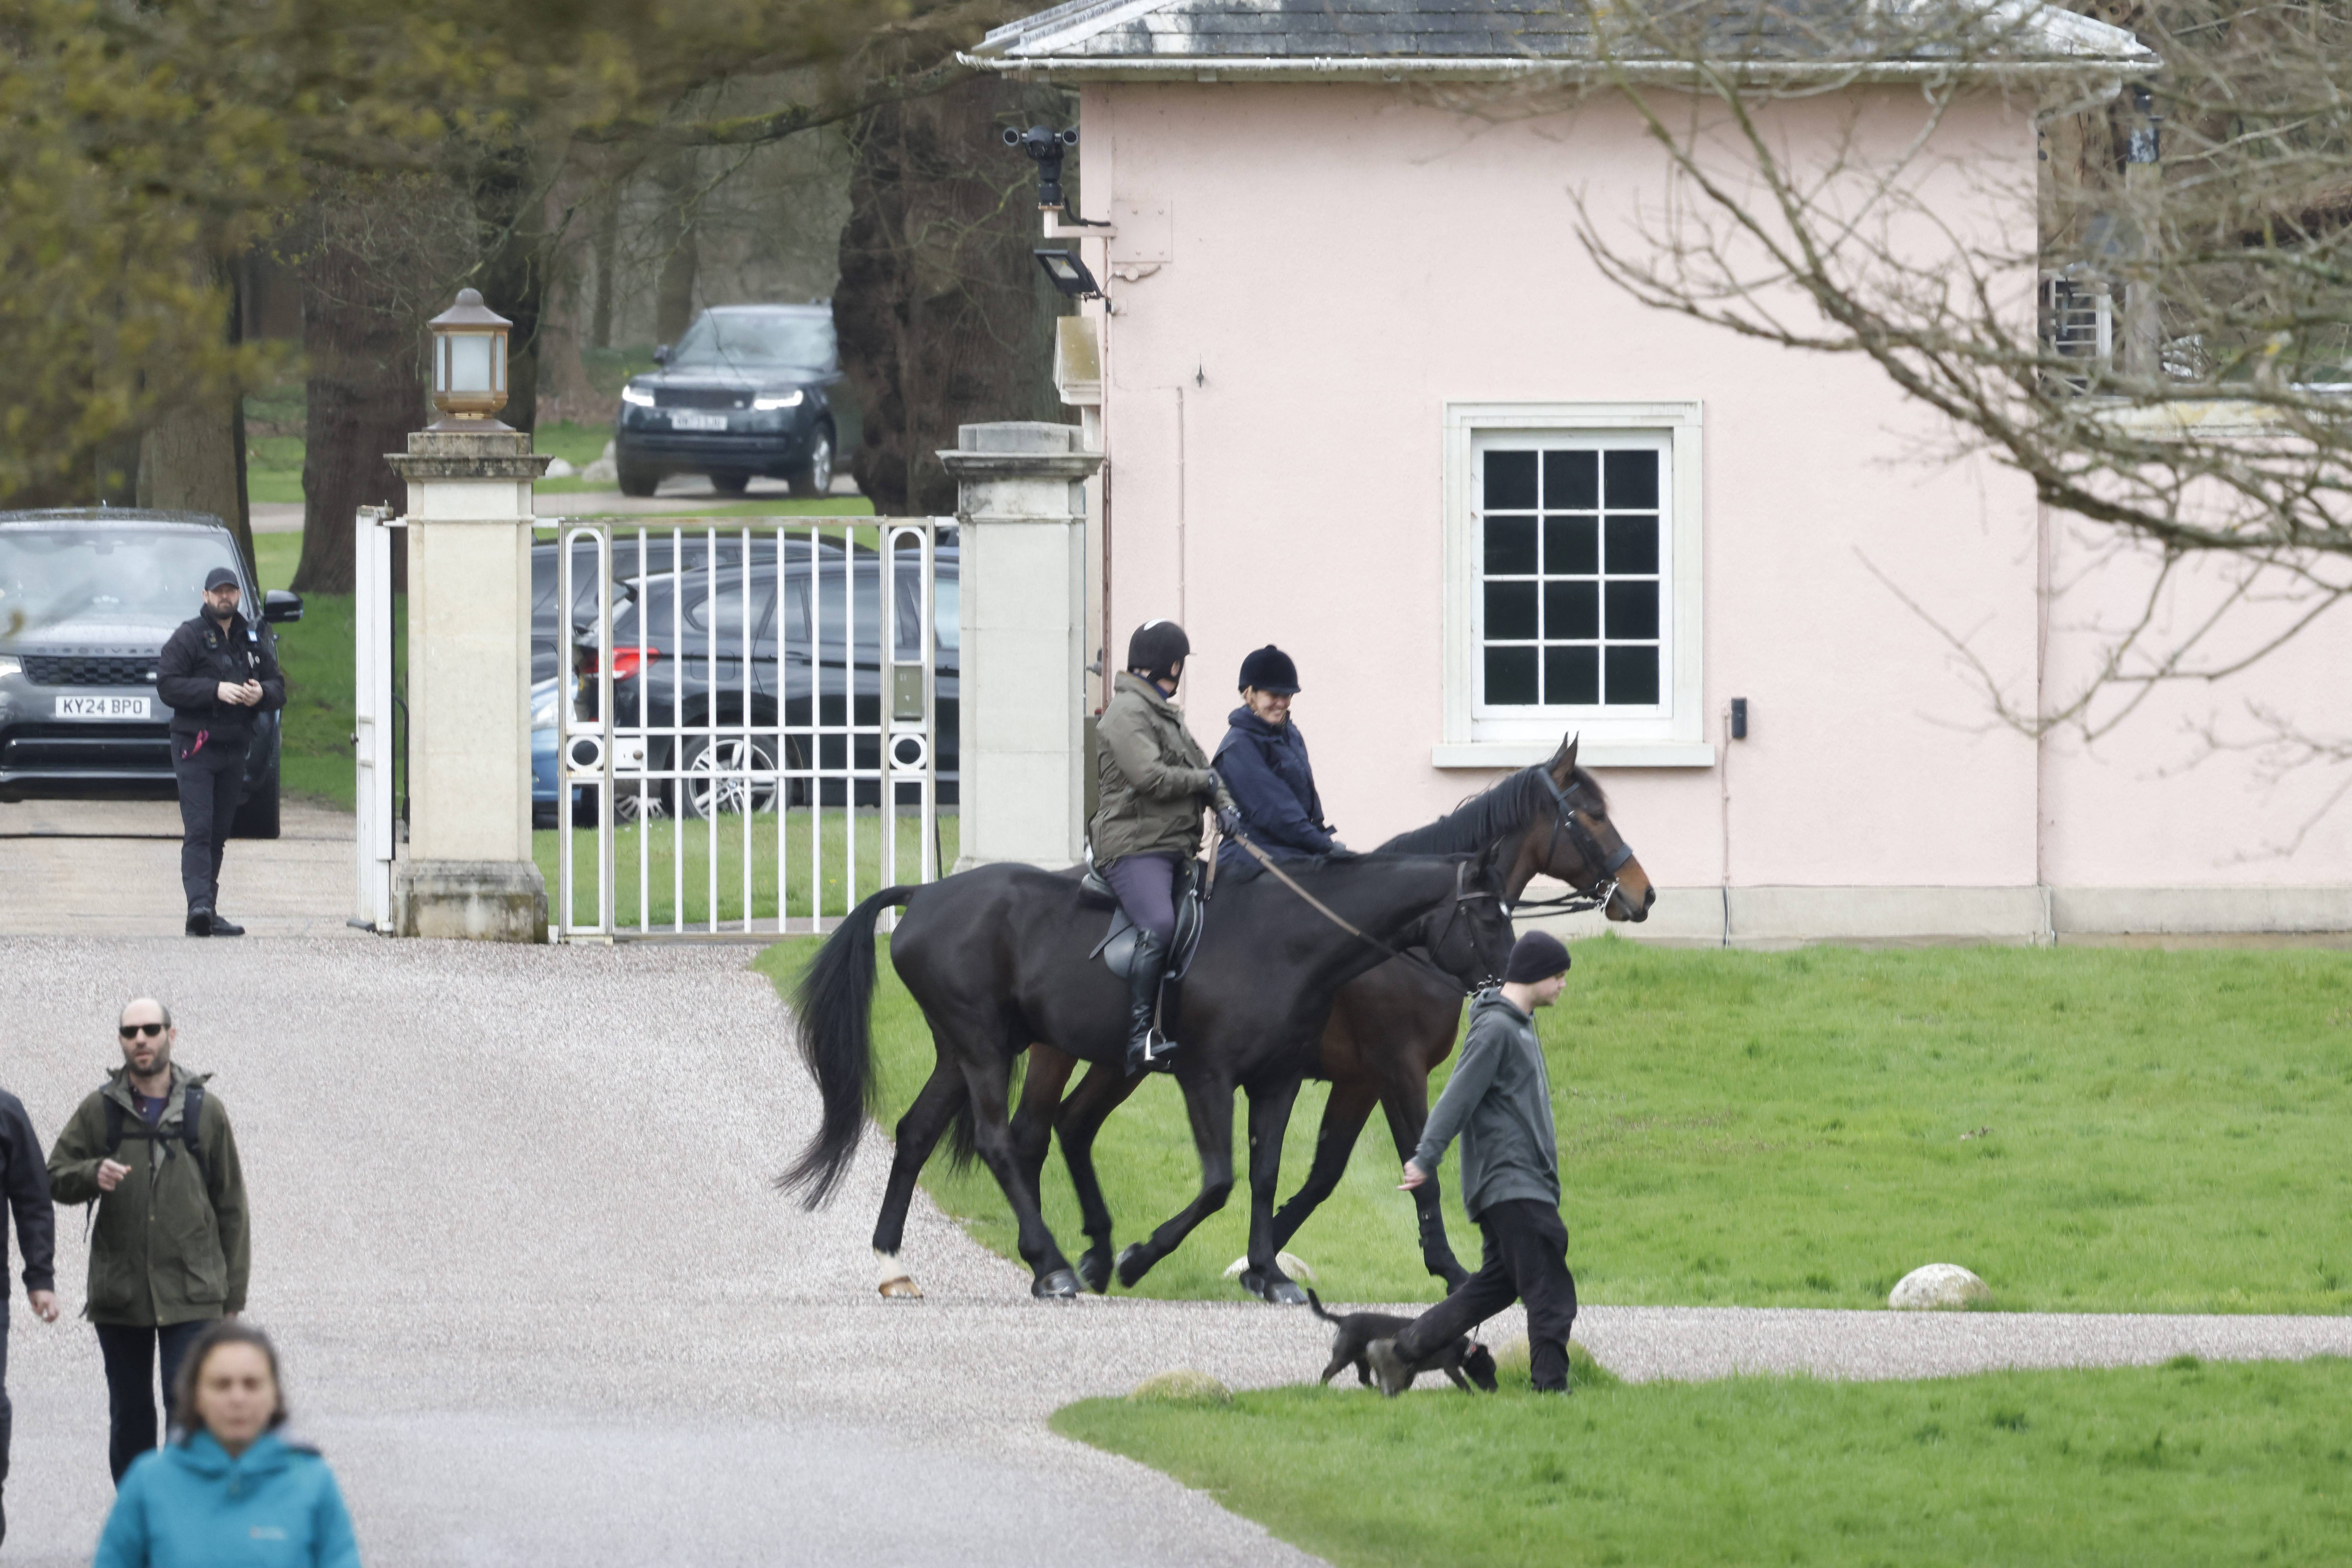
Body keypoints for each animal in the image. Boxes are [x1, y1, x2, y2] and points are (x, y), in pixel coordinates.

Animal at [781, 846, 1515, 1297]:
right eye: (1485, 913)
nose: (1509, 979)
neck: (1286, 940)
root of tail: (928, 893)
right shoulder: (1211, 1078)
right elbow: (1219, 1182)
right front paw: (1140, 1258)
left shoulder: (1277, 1082)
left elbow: (1266, 1175)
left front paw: (1269, 1273)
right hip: (987, 1047)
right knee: (1002, 1141)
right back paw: (1052, 1264)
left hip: (964, 1052)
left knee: (920, 1132)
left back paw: (895, 1262)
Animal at [1011, 738, 1656, 1297]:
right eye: (1592, 815)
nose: (1642, 894)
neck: (1400, 941)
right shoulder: (1398, 1069)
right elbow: (1418, 1167)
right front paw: (1448, 1269)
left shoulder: (1357, 1080)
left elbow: (1321, 1173)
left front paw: (1261, 1262)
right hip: (1060, 1051)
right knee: (1029, 1135)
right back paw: (1048, 1260)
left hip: (1118, 1062)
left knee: (1072, 1125)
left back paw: (1088, 1256)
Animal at [1298, 1297, 1496, 1392]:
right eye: (1488, 1368)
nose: (1495, 1389)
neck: (1465, 1349)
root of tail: (1343, 1319)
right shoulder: (1451, 1368)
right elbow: (1463, 1383)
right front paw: (1470, 1394)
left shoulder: (1413, 1370)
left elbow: (1407, 1384)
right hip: (1343, 1357)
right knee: (1328, 1373)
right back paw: (1322, 1389)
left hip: (1362, 1360)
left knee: (1364, 1379)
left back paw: (1375, 1390)